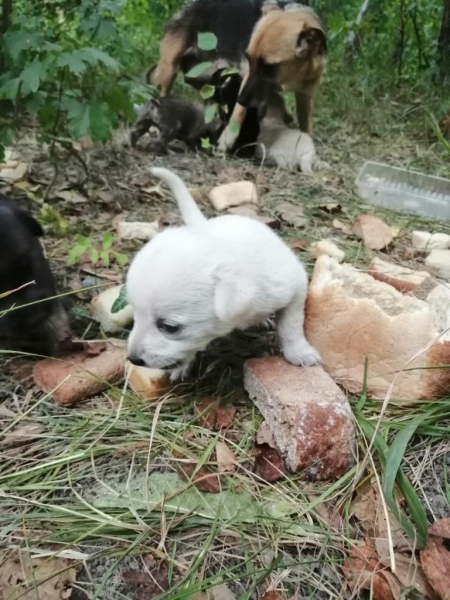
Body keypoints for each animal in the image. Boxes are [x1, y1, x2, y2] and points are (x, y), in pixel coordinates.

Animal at [126, 165, 320, 380]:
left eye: (169, 327)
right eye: (135, 315)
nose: (133, 359)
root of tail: (203, 225)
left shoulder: (295, 288)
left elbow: (291, 325)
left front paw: (299, 352)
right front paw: (181, 367)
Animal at [149, 0, 326, 152]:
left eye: (268, 67)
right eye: (248, 58)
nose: (239, 98)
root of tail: (185, 8)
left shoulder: (305, 96)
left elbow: (306, 126)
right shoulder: (246, 78)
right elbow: (239, 112)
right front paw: (227, 139)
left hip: (203, 78)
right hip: (169, 71)